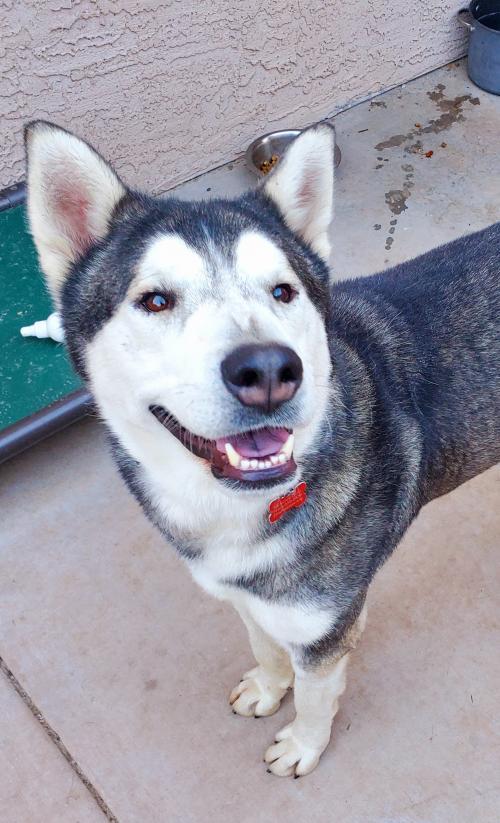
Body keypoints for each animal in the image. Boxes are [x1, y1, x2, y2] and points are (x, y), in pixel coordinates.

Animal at [25, 122, 498, 780]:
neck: (235, 505)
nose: (270, 369)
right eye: (155, 300)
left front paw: (302, 745)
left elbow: (317, 697)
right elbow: (262, 644)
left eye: (283, 292)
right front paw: (267, 689)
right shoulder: (247, 596)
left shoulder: (325, 628)